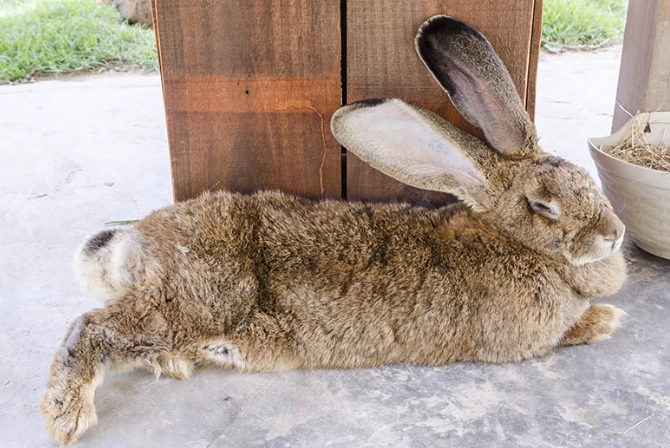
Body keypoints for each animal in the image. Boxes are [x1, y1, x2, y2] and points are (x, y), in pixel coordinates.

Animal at [41, 15, 627, 444]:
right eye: (542, 205)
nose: (616, 234)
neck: (516, 243)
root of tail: (132, 245)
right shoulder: (527, 336)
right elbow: (571, 330)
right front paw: (608, 319)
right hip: (192, 300)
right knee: (89, 327)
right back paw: (65, 417)